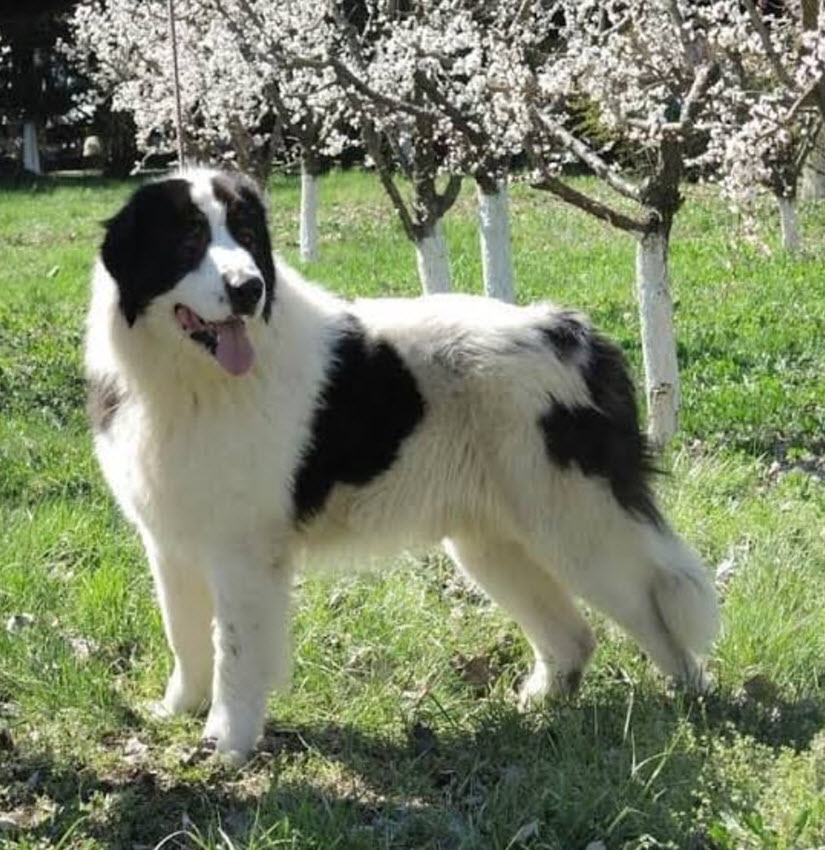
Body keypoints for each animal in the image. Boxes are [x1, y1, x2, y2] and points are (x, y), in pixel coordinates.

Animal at [82, 167, 716, 760]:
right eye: (189, 238)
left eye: (245, 235)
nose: (248, 289)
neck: (191, 380)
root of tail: (576, 333)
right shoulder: (170, 541)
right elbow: (185, 637)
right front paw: (177, 711)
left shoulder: (243, 552)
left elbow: (234, 651)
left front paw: (226, 744)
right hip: (493, 543)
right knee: (575, 635)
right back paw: (542, 704)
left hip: (578, 529)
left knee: (655, 612)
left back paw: (686, 703)